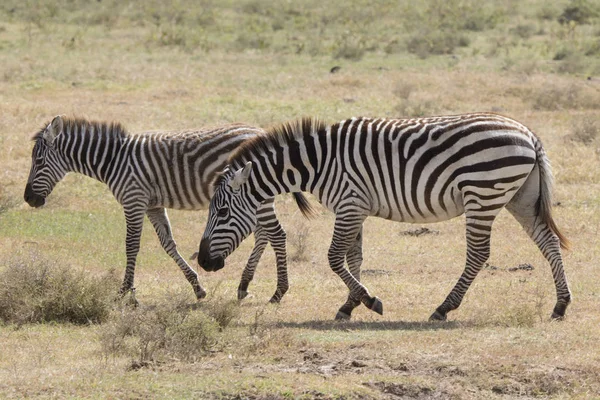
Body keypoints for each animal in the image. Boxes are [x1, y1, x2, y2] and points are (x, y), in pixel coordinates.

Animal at [22, 115, 310, 304]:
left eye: (38, 161)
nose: (28, 199)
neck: (114, 160)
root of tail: (259, 131)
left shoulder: (134, 200)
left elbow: (131, 245)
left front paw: (126, 292)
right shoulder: (153, 205)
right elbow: (168, 243)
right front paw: (197, 287)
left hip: (255, 198)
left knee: (276, 235)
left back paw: (277, 291)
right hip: (254, 201)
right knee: (263, 235)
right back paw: (243, 285)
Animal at [197, 112, 572, 322]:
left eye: (222, 212)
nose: (203, 261)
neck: (319, 163)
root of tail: (528, 134)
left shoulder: (349, 204)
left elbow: (334, 258)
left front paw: (369, 300)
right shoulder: (356, 208)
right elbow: (354, 257)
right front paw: (349, 306)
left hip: (482, 195)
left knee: (479, 254)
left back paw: (444, 308)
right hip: (521, 197)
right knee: (549, 241)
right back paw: (561, 305)